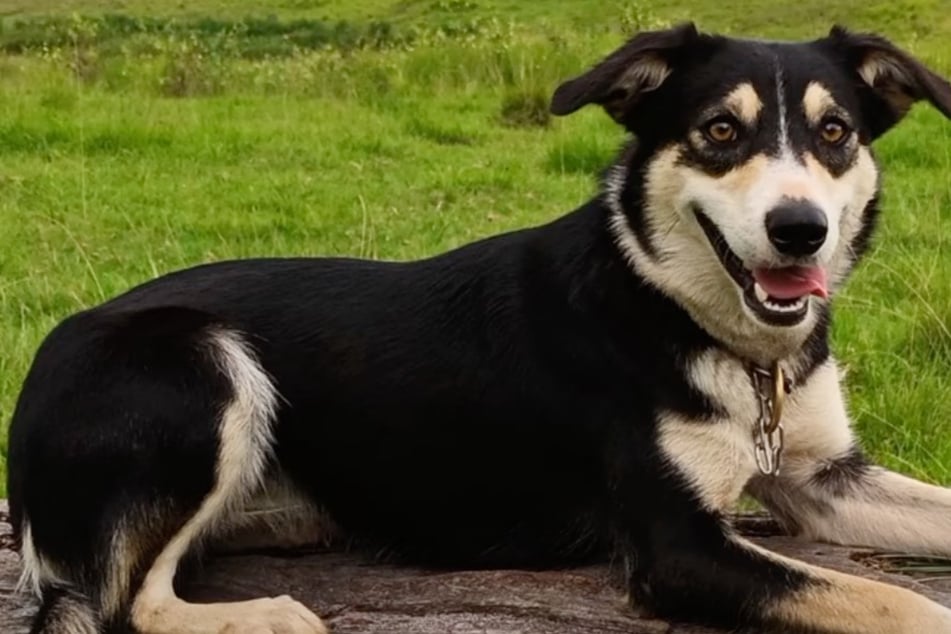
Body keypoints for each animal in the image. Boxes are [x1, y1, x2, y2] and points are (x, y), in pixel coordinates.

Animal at [5, 21, 951, 632]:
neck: (677, 307)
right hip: (202, 362)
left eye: (834, 132)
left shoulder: (824, 479)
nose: (799, 230)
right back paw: (268, 616)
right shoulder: (677, 550)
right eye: (718, 130)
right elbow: (898, 602)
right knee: (132, 605)